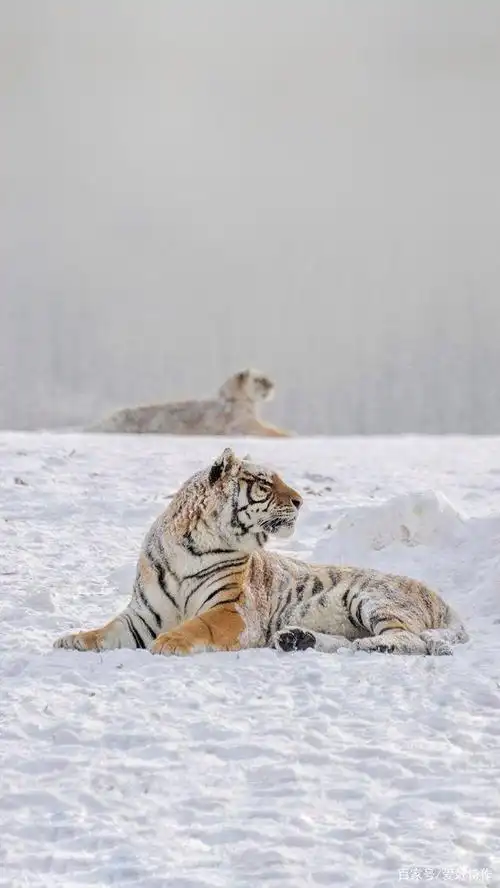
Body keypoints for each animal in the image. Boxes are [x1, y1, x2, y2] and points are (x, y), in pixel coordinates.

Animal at [54, 448, 468, 658]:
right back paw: (296, 640)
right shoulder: (144, 614)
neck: (189, 545)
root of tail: (445, 602)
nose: (300, 501)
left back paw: (373, 644)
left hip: (370, 598)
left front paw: (169, 642)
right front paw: (72, 639)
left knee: (412, 640)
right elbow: (108, 630)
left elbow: (196, 625)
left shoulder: (232, 611)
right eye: (266, 484)